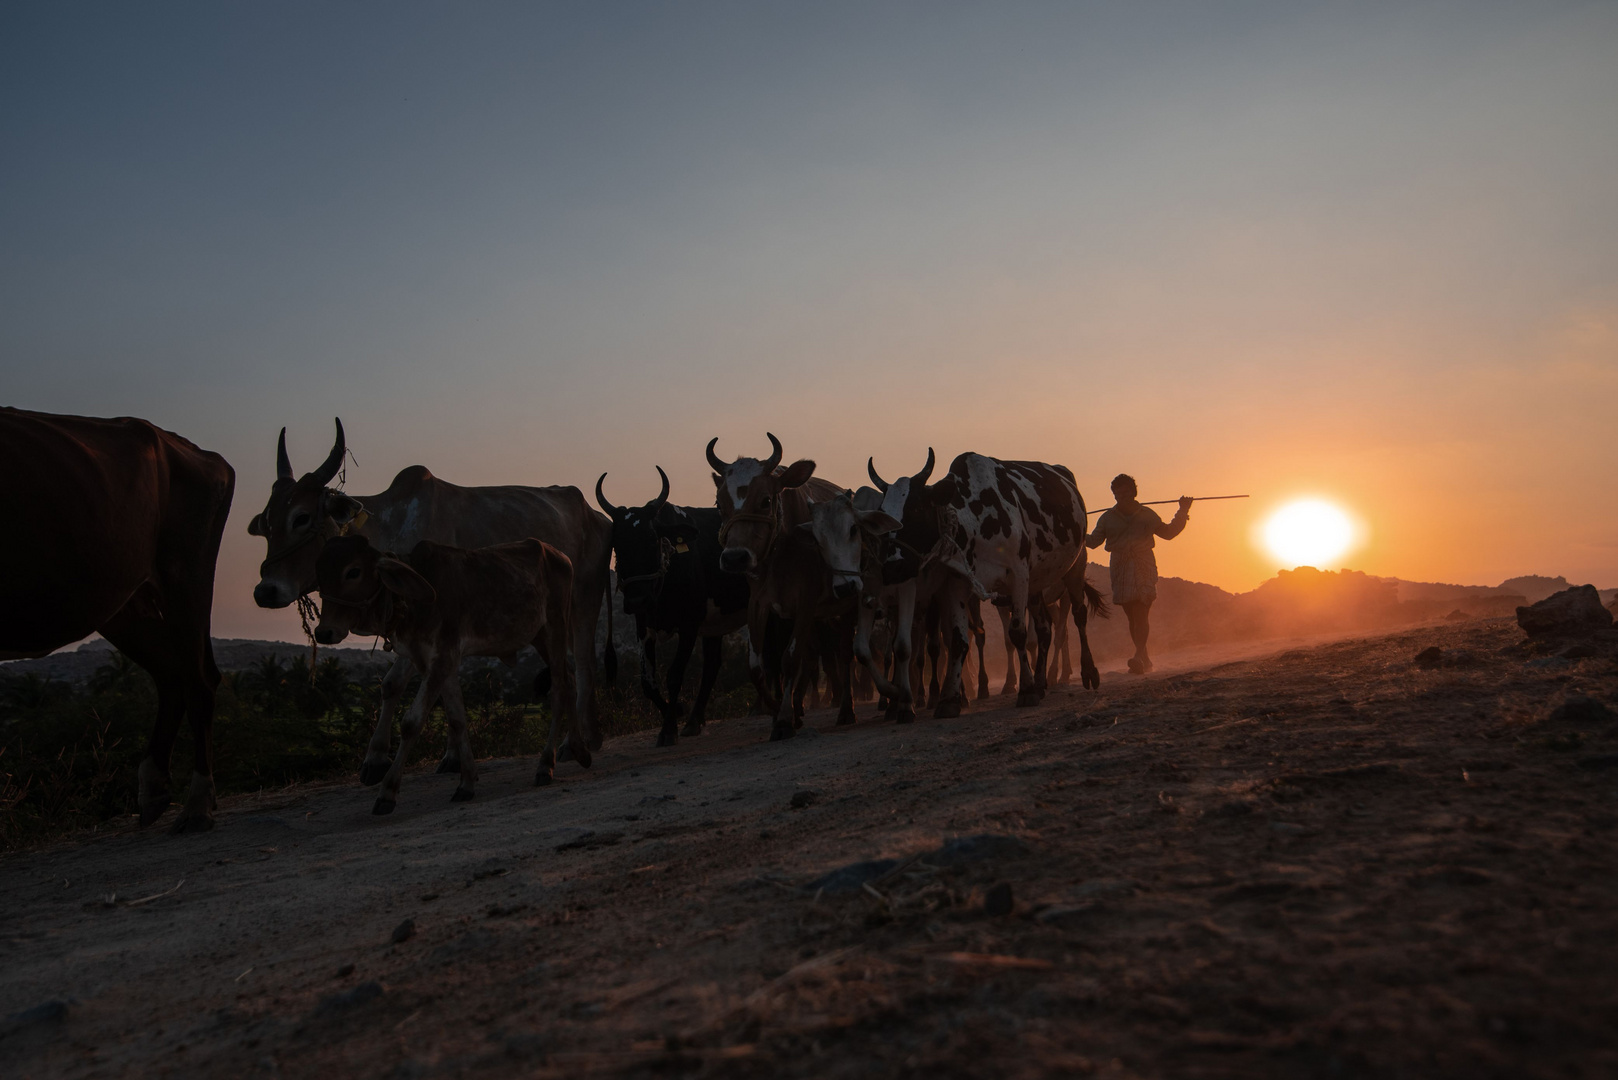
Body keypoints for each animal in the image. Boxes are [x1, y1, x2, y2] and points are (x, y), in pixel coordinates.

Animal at [0, 409, 234, 835]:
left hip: (185, 574)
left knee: (199, 678)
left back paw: (197, 805)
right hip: (126, 603)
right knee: (171, 676)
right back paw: (154, 790)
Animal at [310, 531, 582, 809]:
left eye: (353, 572)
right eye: (319, 574)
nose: (323, 632)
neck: (415, 602)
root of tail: (560, 555)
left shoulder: (442, 657)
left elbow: (411, 722)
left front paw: (387, 791)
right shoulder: (431, 660)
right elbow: (456, 718)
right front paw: (467, 782)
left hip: (555, 628)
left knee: (559, 690)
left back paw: (546, 765)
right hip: (539, 637)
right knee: (570, 679)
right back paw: (579, 750)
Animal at [595, 469, 744, 748]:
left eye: (652, 540)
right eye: (617, 545)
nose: (637, 601)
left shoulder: (689, 625)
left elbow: (674, 676)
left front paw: (668, 729)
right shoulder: (644, 627)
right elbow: (648, 683)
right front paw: (677, 712)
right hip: (714, 625)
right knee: (712, 665)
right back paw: (694, 720)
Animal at [880, 453, 1106, 712]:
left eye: (916, 508)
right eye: (883, 514)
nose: (891, 567)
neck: (976, 521)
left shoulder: (1018, 577)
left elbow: (1018, 634)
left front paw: (1025, 690)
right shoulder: (959, 585)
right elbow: (958, 641)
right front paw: (950, 699)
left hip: (1074, 569)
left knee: (1078, 617)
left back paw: (1086, 671)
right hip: (1036, 585)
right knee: (1045, 628)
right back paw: (1041, 681)